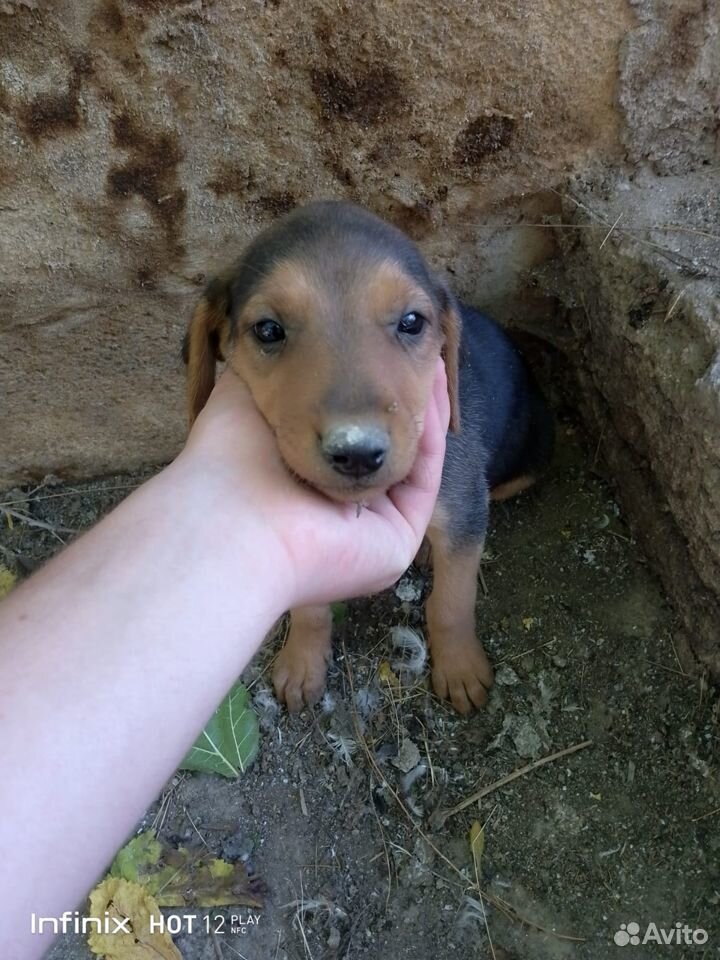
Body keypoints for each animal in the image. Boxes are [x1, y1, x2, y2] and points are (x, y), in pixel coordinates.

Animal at [184, 201, 552, 712]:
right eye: (268, 330)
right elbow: (310, 610)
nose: (356, 451)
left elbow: (453, 603)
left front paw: (459, 667)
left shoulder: (464, 510)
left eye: (412, 322)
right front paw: (302, 661)